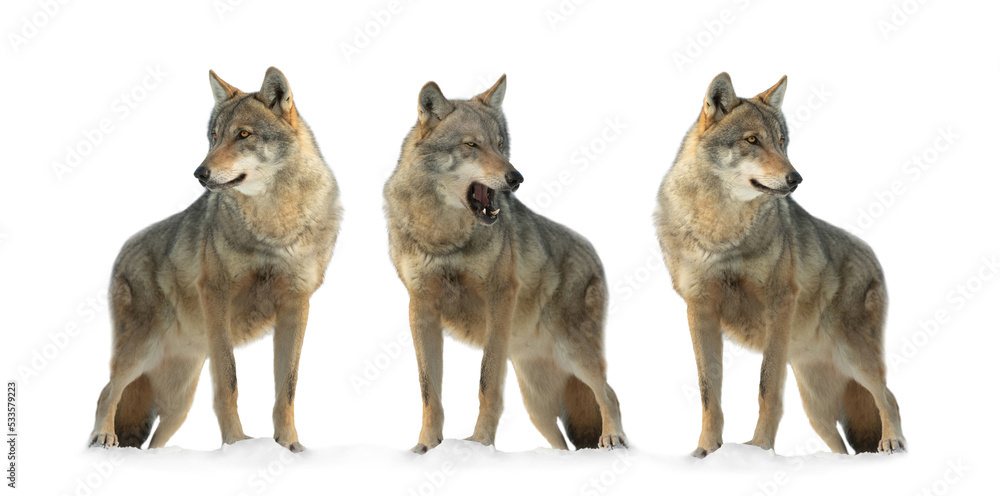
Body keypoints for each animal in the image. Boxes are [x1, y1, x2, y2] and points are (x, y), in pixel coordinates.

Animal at [88, 67, 341, 452]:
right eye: (214, 136)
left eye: (243, 134)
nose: (200, 173)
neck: (273, 225)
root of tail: (122, 251)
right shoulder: (217, 295)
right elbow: (228, 380)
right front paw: (235, 442)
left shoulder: (296, 305)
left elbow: (287, 388)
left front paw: (289, 446)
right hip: (142, 351)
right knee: (106, 392)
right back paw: (103, 435)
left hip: (180, 401)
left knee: (154, 440)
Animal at [383, 75, 627, 453]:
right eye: (472, 145)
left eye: (500, 145)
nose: (516, 178)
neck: (444, 235)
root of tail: (594, 253)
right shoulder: (420, 308)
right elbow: (428, 391)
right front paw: (426, 446)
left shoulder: (499, 298)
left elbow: (487, 381)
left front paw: (480, 442)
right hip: (536, 404)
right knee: (562, 442)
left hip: (573, 353)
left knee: (610, 394)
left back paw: (612, 436)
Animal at [654, 73, 905, 457]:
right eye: (752, 140)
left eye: (782, 142)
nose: (796, 178)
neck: (722, 231)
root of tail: (873, 256)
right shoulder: (699, 309)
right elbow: (708, 392)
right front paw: (707, 451)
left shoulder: (779, 302)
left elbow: (767, 386)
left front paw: (760, 448)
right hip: (815, 406)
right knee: (841, 445)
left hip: (854, 357)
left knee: (889, 398)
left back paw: (892, 441)